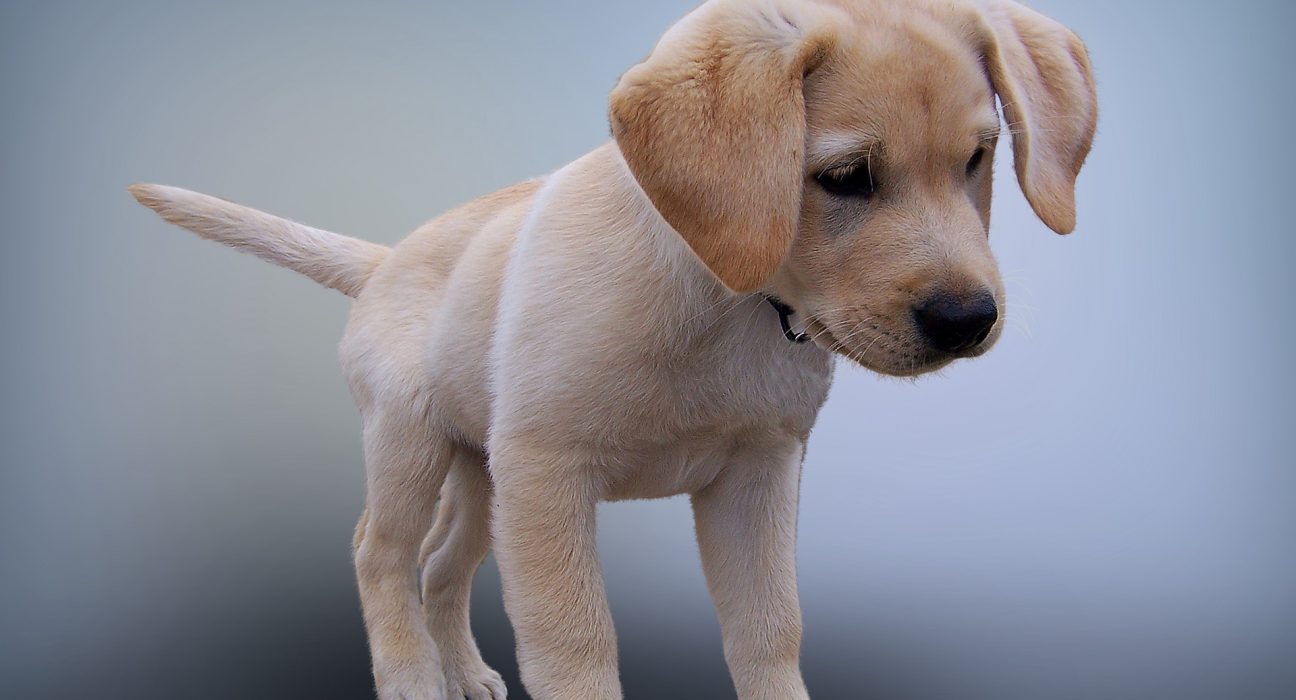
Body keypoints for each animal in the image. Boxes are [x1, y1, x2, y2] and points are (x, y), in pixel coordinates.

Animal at [126, 0, 1093, 694]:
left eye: (979, 158)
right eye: (845, 177)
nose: (967, 319)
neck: (723, 301)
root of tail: (389, 256)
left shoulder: (757, 474)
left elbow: (769, 630)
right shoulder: (550, 473)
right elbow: (574, 645)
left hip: (484, 473)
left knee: (441, 566)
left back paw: (464, 672)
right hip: (411, 441)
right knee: (381, 553)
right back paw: (410, 681)